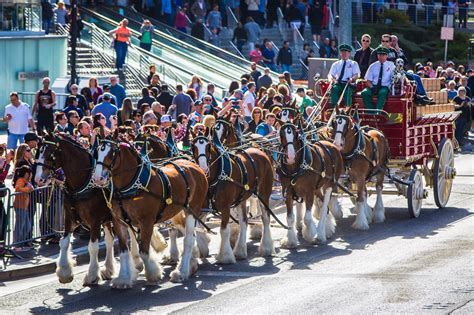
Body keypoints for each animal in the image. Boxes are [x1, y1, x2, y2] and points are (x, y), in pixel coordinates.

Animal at [34, 133, 127, 286]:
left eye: (50, 154)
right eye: (38, 152)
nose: (38, 180)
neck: (82, 182)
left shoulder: (95, 220)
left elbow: (93, 247)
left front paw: (91, 275)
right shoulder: (69, 216)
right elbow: (64, 242)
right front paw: (64, 272)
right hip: (109, 218)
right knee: (110, 240)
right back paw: (108, 269)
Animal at [92, 132, 207, 286]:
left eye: (112, 152)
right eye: (97, 152)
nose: (98, 178)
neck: (131, 185)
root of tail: (194, 165)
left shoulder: (146, 222)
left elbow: (144, 252)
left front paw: (153, 273)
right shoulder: (119, 221)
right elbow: (123, 251)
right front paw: (123, 278)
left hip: (192, 209)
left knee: (188, 238)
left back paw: (181, 271)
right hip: (175, 212)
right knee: (187, 233)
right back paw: (191, 264)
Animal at [192, 132, 274, 262]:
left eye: (208, 146)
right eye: (193, 147)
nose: (203, 168)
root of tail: (260, 151)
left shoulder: (225, 207)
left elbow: (224, 230)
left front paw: (225, 256)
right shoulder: (203, 207)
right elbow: (198, 228)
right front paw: (203, 248)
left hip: (264, 193)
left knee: (265, 218)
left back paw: (266, 248)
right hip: (241, 198)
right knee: (244, 221)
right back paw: (240, 251)